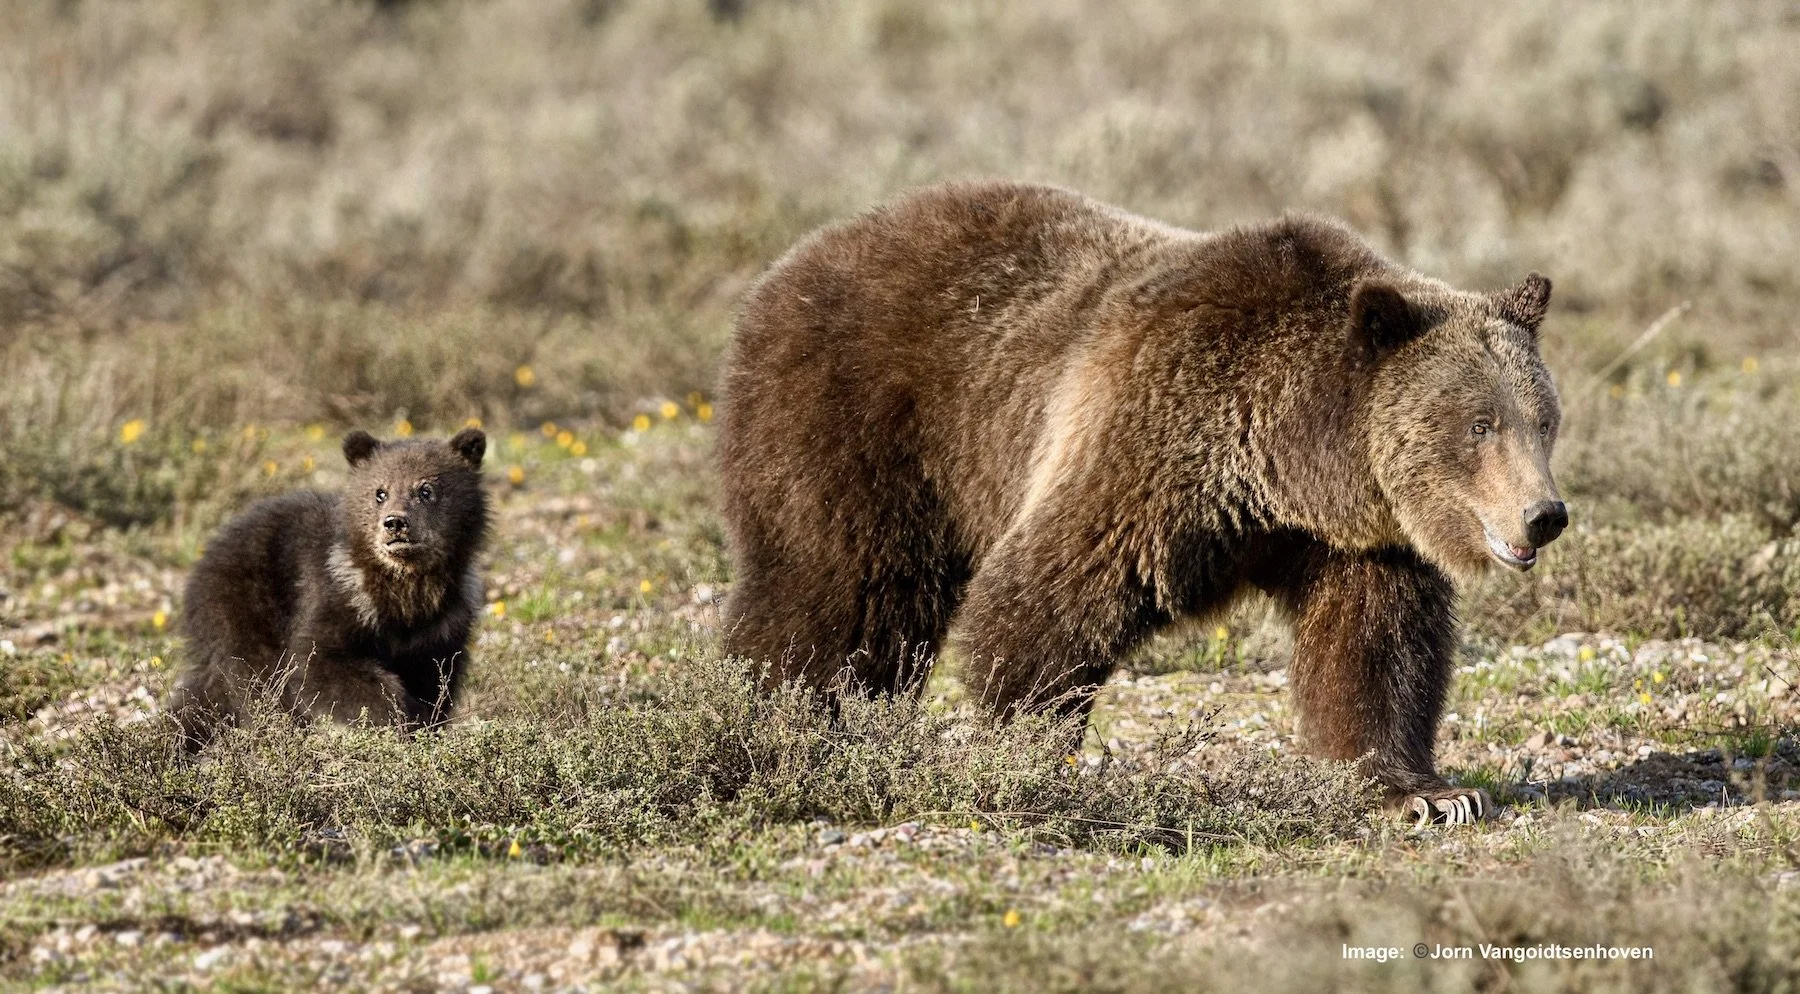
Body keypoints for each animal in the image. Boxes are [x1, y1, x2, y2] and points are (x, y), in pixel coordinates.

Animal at [170, 427, 489, 749]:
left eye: (425, 490)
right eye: (380, 492)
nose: (395, 523)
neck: (404, 588)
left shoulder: (441, 626)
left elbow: (435, 681)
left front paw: (424, 721)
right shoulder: (337, 595)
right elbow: (319, 662)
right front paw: (399, 715)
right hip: (245, 608)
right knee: (253, 678)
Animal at [716, 180, 1567, 824]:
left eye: (1544, 419)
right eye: (1479, 424)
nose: (1544, 515)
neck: (1291, 463)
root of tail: (795, 260)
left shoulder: (1352, 539)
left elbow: (1372, 649)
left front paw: (1426, 792)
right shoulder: (1152, 442)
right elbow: (1043, 600)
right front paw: (1030, 750)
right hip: (865, 422)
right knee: (838, 592)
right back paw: (778, 723)